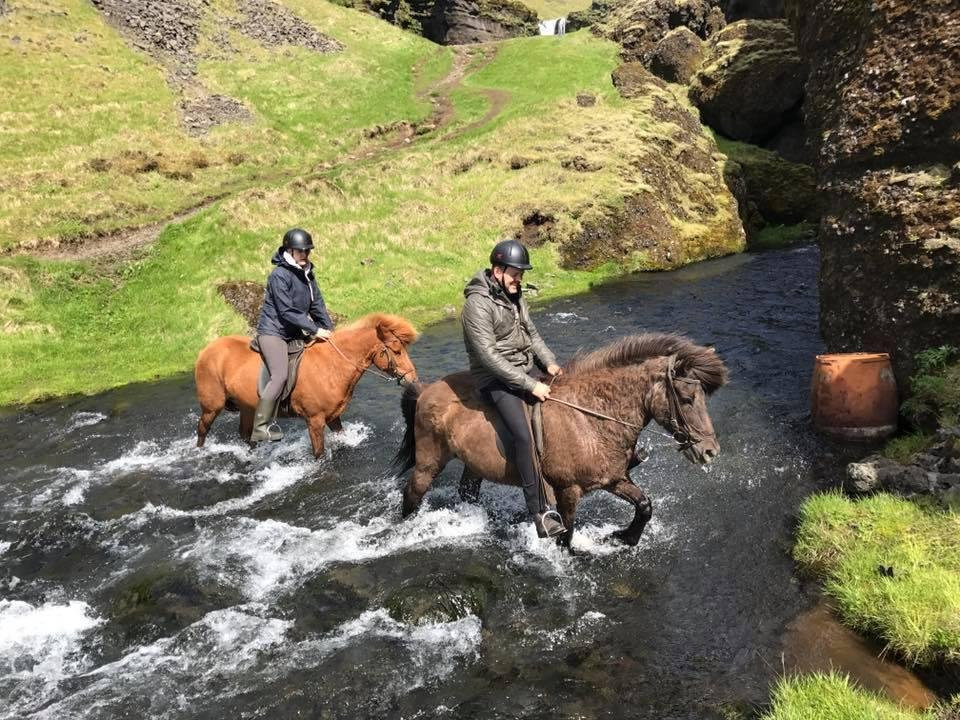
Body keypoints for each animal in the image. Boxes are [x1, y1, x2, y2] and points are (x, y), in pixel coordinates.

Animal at [195, 313, 419, 458]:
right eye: (397, 350)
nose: (413, 379)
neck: (332, 365)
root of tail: (205, 351)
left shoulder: (333, 416)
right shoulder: (314, 420)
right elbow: (318, 453)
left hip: (247, 407)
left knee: (245, 433)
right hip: (212, 406)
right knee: (203, 429)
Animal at [393, 333, 727, 547]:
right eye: (686, 398)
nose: (709, 451)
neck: (589, 418)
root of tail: (426, 390)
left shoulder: (614, 478)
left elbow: (645, 505)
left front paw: (624, 538)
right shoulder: (568, 490)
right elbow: (566, 536)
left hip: (473, 465)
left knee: (466, 493)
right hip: (429, 461)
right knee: (412, 493)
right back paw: (404, 530)